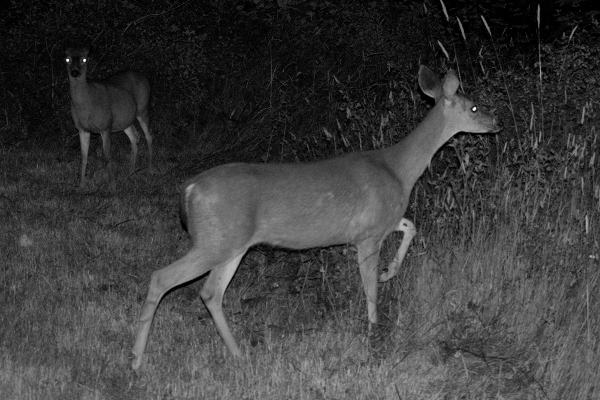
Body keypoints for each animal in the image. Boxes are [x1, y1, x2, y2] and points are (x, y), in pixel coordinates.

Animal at [65, 45, 154, 192]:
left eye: (84, 59)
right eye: (67, 59)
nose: (75, 72)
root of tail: (143, 77)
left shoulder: (105, 126)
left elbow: (107, 156)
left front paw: (112, 186)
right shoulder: (82, 129)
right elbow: (83, 156)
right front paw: (81, 185)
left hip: (143, 108)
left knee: (149, 136)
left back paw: (150, 170)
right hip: (125, 120)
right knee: (135, 136)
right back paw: (130, 172)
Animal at [130, 65, 502, 368]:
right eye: (473, 106)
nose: (497, 122)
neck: (399, 170)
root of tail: (189, 189)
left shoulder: (377, 223)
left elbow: (411, 226)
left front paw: (388, 272)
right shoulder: (368, 234)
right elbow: (370, 290)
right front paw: (374, 335)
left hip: (232, 243)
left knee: (210, 292)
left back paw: (237, 354)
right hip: (216, 240)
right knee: (162, 278)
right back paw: (136, 360)